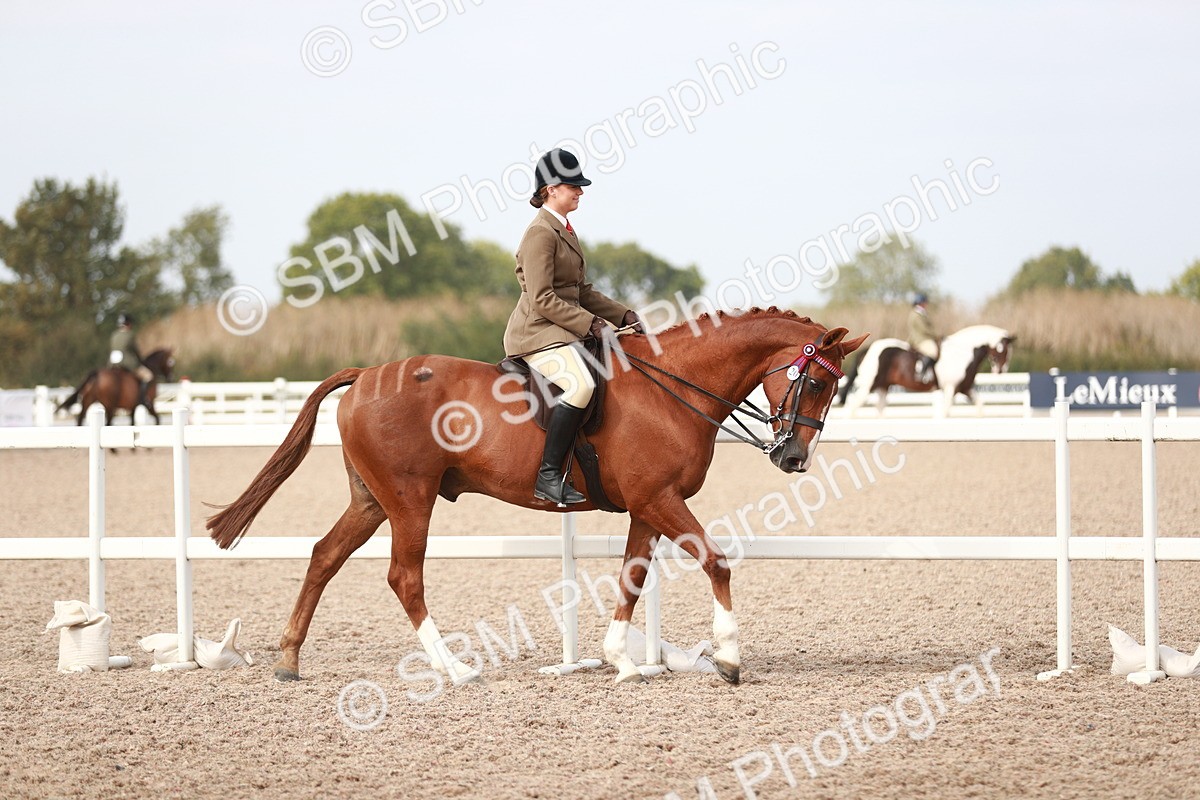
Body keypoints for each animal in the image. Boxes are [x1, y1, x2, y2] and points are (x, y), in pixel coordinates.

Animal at [206, 308, 868, 685]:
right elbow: (716, 561)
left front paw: (621, 661)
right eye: (815, 381)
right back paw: (452, 669)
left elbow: (631, 577)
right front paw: (728, 659)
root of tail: (366, 373)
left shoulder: (648, 506)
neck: (671, 389)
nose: (794, 458)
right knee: (404, 577)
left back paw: (289, 660)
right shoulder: (661, 500)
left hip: (371, 501)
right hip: (410, 500)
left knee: (323, 556)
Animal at [838, 325, 1015, 415]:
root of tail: (868, 349)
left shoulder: (966, 388)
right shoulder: (950, 389)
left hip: (883, 386)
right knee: (852, 406)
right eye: (1002, 350)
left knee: (880, 408)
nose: (1000, 371)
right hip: (869, 386)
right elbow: (945, 411)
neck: (962, 353)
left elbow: (980, 406)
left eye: (1008, 351)